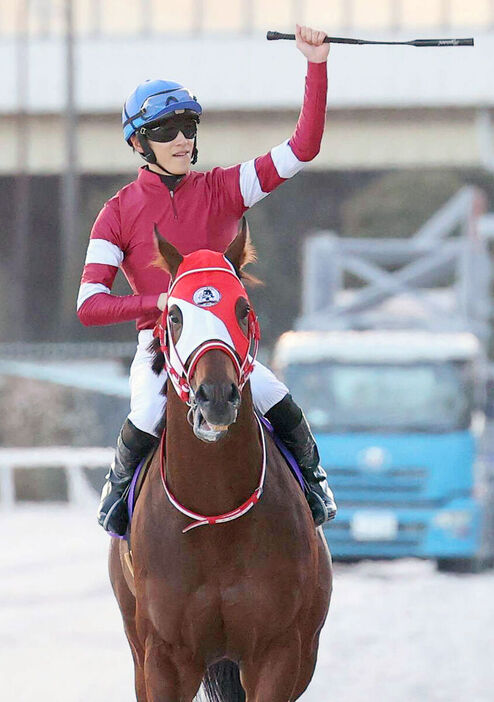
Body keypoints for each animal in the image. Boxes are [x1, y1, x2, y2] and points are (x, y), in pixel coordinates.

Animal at [108, 227, 332, 702]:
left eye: (242, 308)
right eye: (175, 314)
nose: (215, 396)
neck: (215, 514)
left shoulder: (278, 650)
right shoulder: (165, 657)